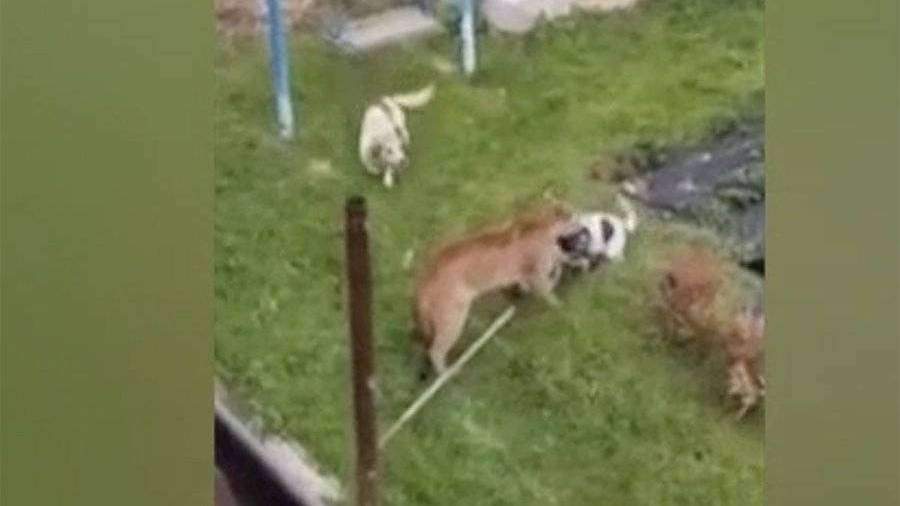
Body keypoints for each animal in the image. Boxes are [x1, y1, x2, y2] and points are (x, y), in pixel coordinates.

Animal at [413, 204, 580, 375]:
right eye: (572, 214)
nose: (579, 217)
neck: (541, 223)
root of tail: (424, 279)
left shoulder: (528, 273)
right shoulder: (537, 272)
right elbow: (548, 288)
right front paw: (559, 305)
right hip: (452, 319)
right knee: (435, 351)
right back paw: (449, 372)